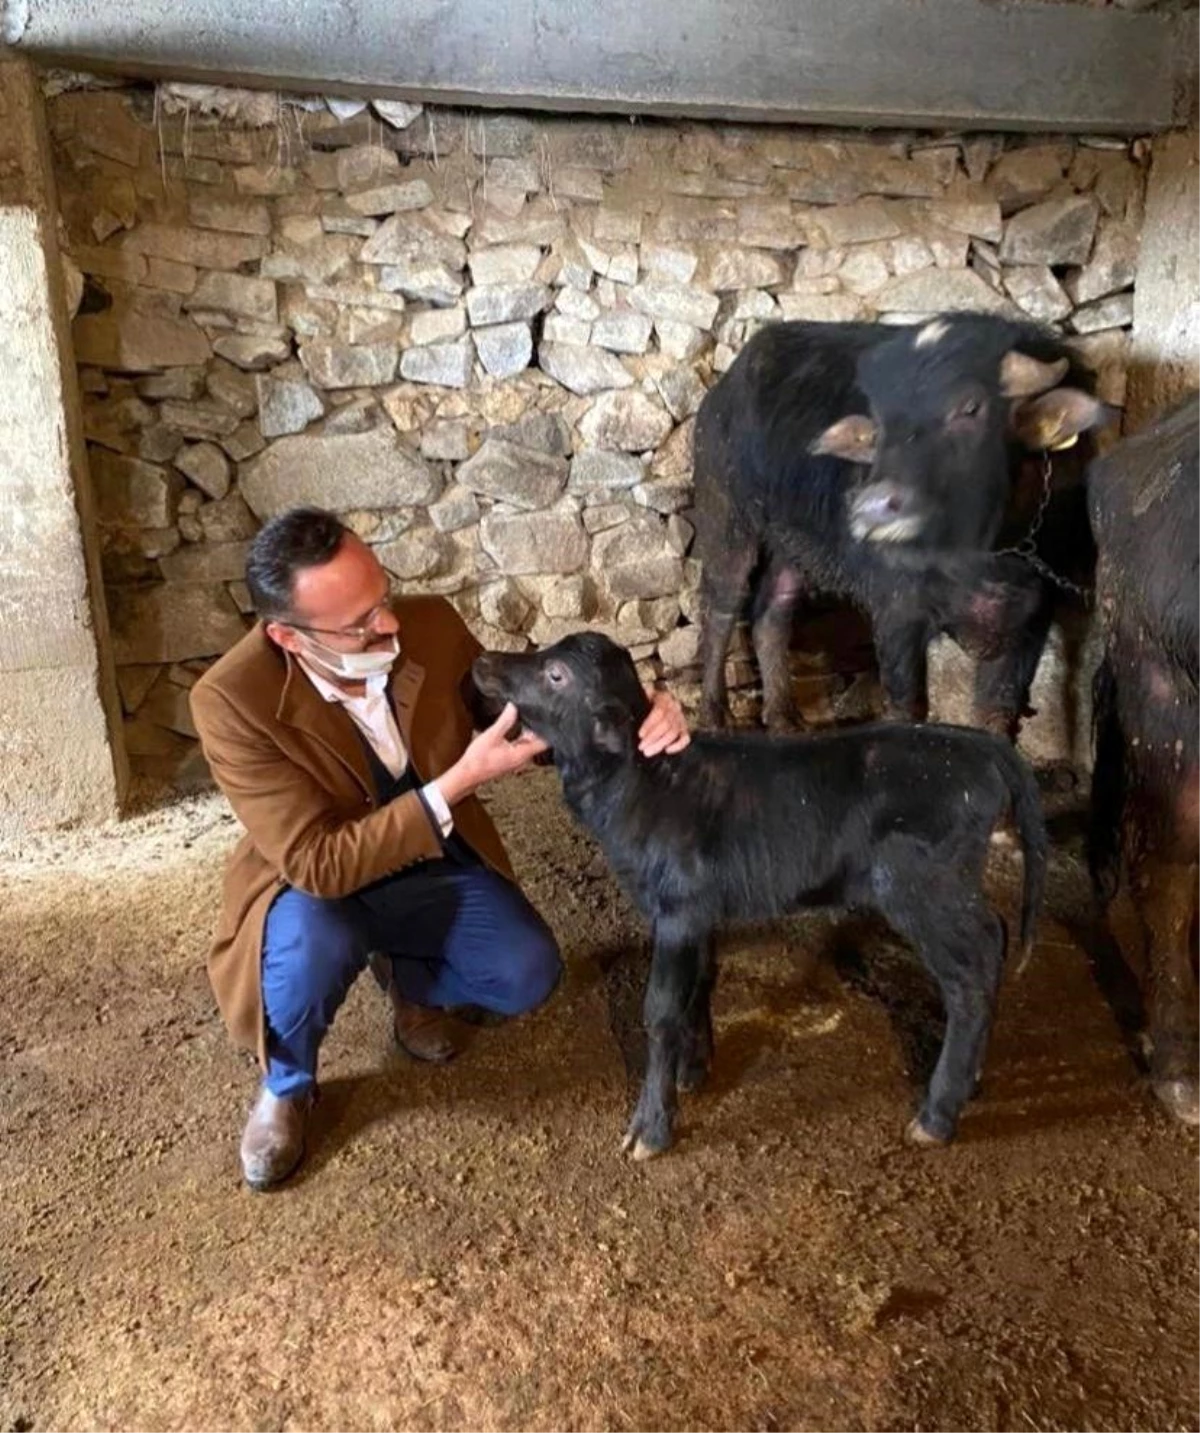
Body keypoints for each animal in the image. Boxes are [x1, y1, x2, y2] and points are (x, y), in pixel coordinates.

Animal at [473, 633, 1043, 1157]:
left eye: (556, 674)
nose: (484, 660)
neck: (645, 784)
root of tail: (981, 746)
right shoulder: (698, 910)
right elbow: (699, 982)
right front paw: (693, 1070)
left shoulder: (677, 909)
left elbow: (660, 1008)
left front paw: (651, 1127)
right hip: (951, 884)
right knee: (994, 935)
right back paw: (971, 1081)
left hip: (922, 886)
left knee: (970, 974)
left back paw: (937, 1115)